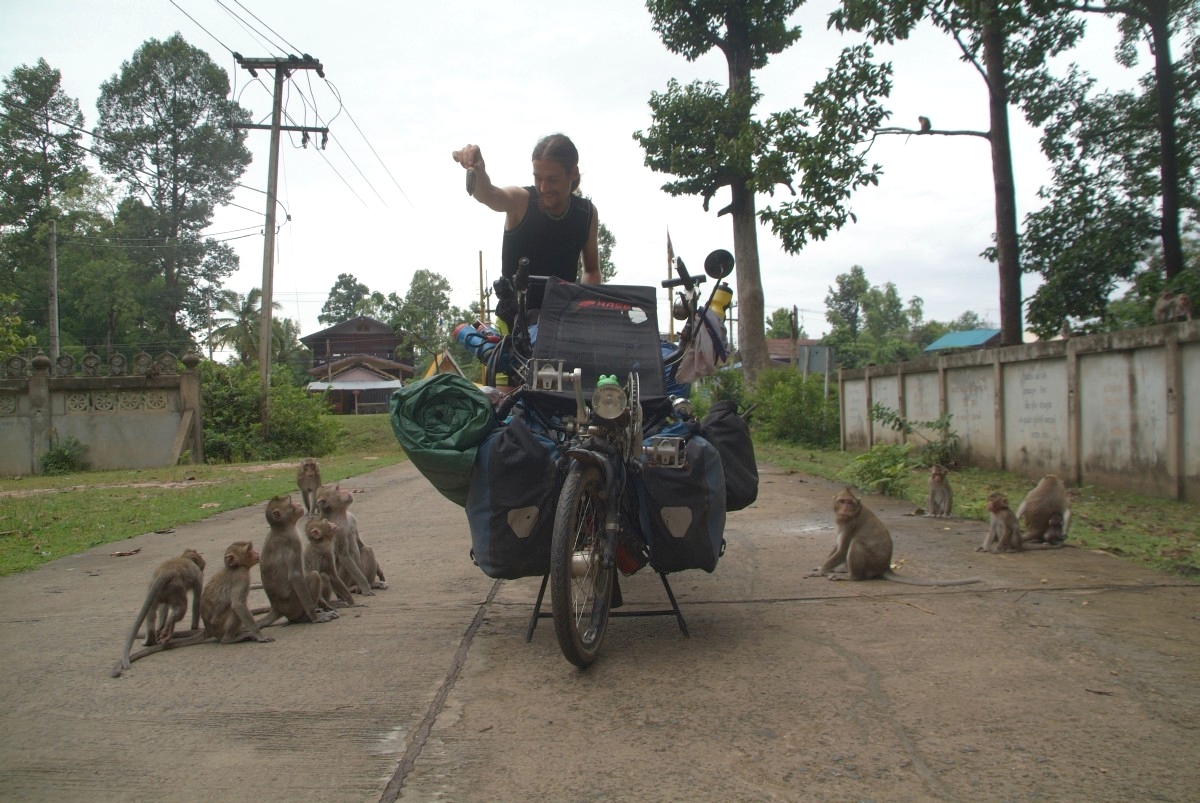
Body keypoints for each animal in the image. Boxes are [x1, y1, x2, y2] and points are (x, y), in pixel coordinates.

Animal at [112, 537, 272, 676]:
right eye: (249, 549)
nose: (257, 553)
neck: (236, 567)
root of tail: (209, 630)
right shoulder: (241, 577)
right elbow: (238, 605)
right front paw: (260, 636)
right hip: (217, 623)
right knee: (233, 612)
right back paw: (230, 639)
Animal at [256, 489, 338, 624]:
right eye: (290, 503)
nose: (298, 504)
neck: (282, 528)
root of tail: (277, 608)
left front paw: (322, 604)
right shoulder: (294, 541)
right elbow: (295, 576)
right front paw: (315, 617)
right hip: (295, 606)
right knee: (314, 576)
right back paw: (305, 617)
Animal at [811, 484, 979, 585]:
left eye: (849, 503)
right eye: (842, 501)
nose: (845, 509)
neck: (852, 514)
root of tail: (885, 566)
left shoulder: (851, 524)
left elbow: (842, 549)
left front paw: (822, 571)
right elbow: (837, 546)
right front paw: (823, 566)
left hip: (872, 564)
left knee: (856, 543)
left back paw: (852, 576)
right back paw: (843, 569)